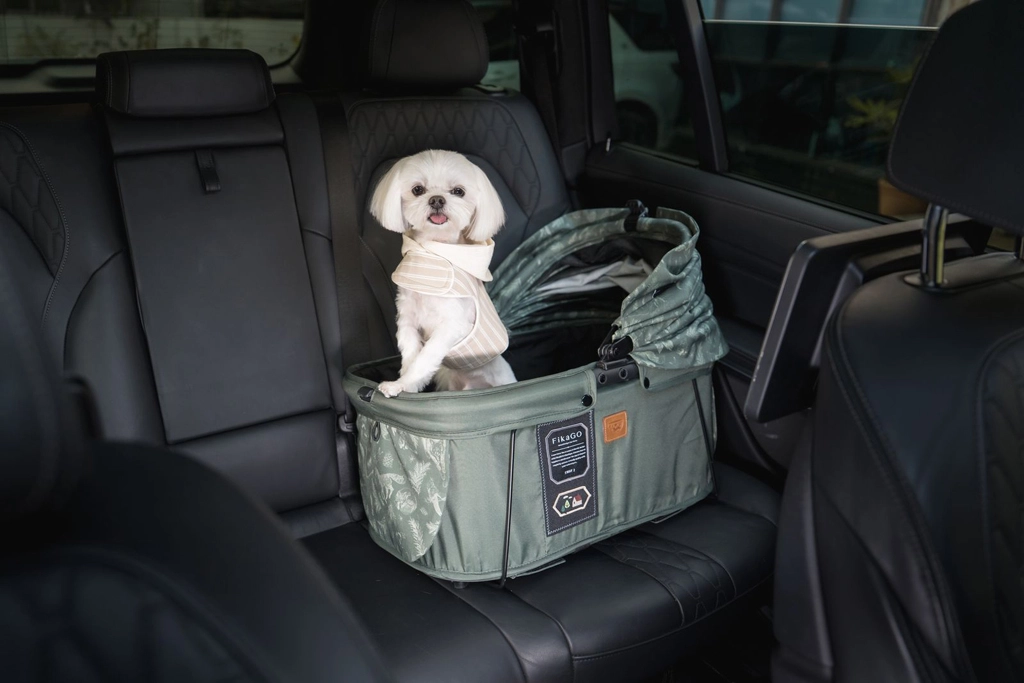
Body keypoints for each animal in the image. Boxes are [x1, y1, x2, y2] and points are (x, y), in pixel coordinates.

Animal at [370, 149, 517, 396]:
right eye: (417, 189)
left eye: (458, 191)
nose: (437, 199)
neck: (434, 253)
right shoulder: (408, 320)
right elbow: (411, 355)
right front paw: (405, 384)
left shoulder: (452, 325)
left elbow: (425, 357)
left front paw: (401, 384)